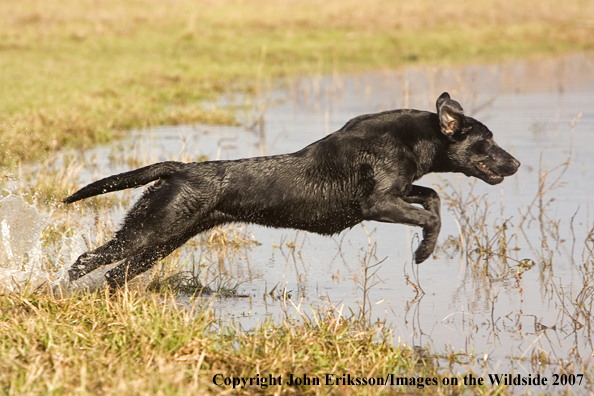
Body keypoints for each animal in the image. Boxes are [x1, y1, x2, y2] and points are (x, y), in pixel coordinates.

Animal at [63, 94, 520, 290]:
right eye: (488, 140)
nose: (516, 164)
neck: (413, 140)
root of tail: (181, 169)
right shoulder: (377, 204)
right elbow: (429, 215)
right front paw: (424, 252)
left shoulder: (401, 192)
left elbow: (433, 198)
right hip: (151, 230)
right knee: (85, 260)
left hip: (164, 239)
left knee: (115, 273)